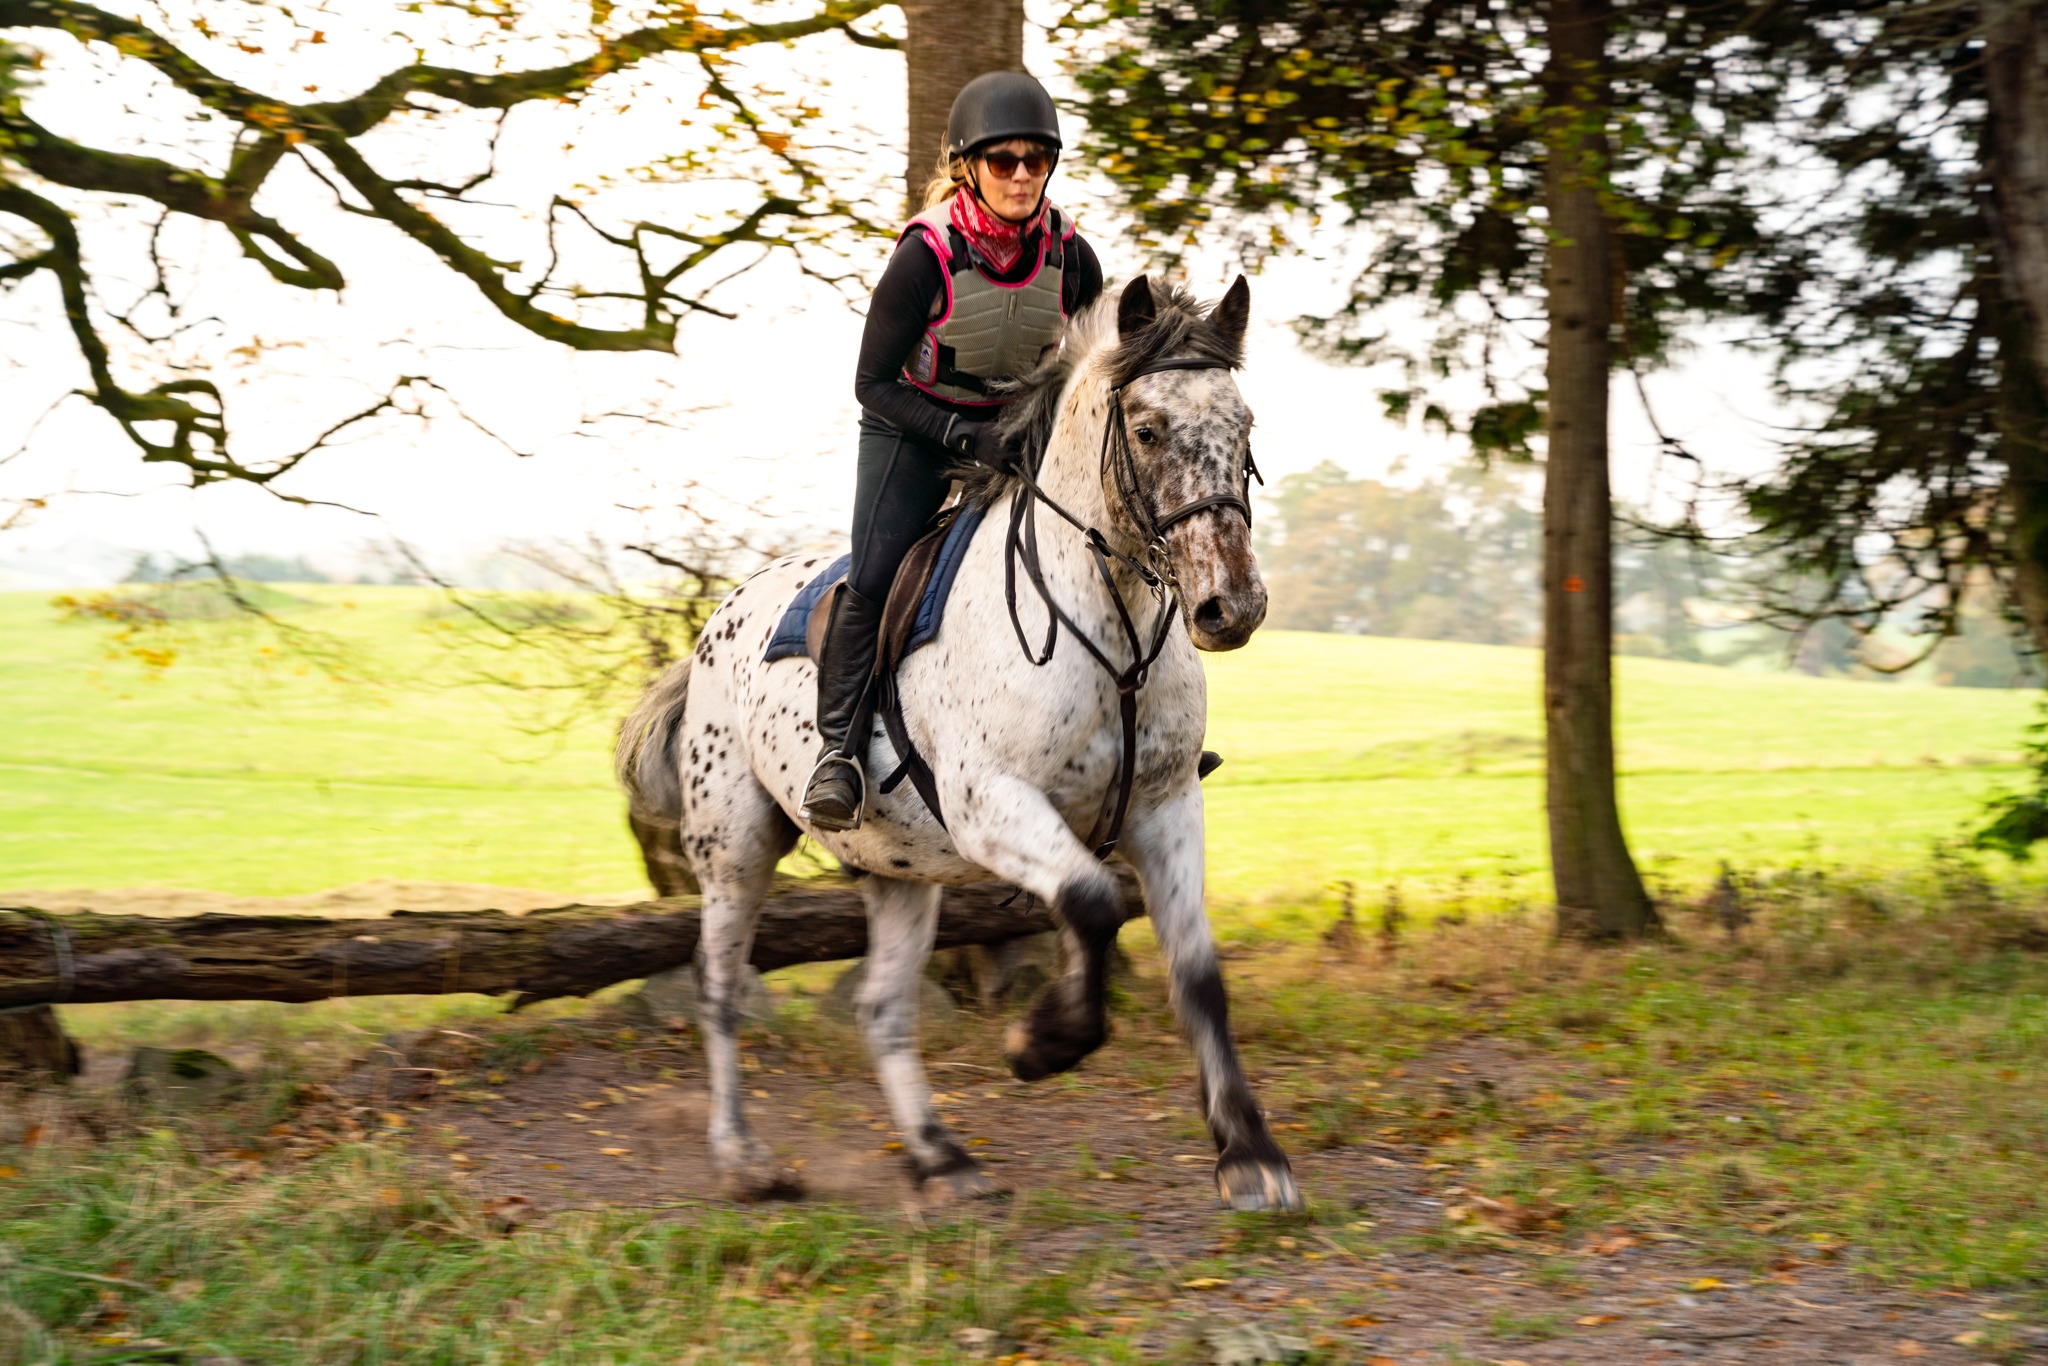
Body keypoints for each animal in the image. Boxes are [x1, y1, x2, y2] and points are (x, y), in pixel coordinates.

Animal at [616, 275, 1302, 1212]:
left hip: (897, 867)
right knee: (719, 988)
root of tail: (717, 622)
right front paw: (1043, 1044)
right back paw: (745, 1160)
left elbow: (1197, 974)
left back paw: (939, 1157)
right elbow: (1093, 903)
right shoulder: (993, 806)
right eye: (1148, 429)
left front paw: (1250, 1155)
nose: (1230, 607)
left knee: (881, 1006)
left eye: (1246, 425)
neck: (1108, 623)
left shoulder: (1166, 807)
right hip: (736, 842)